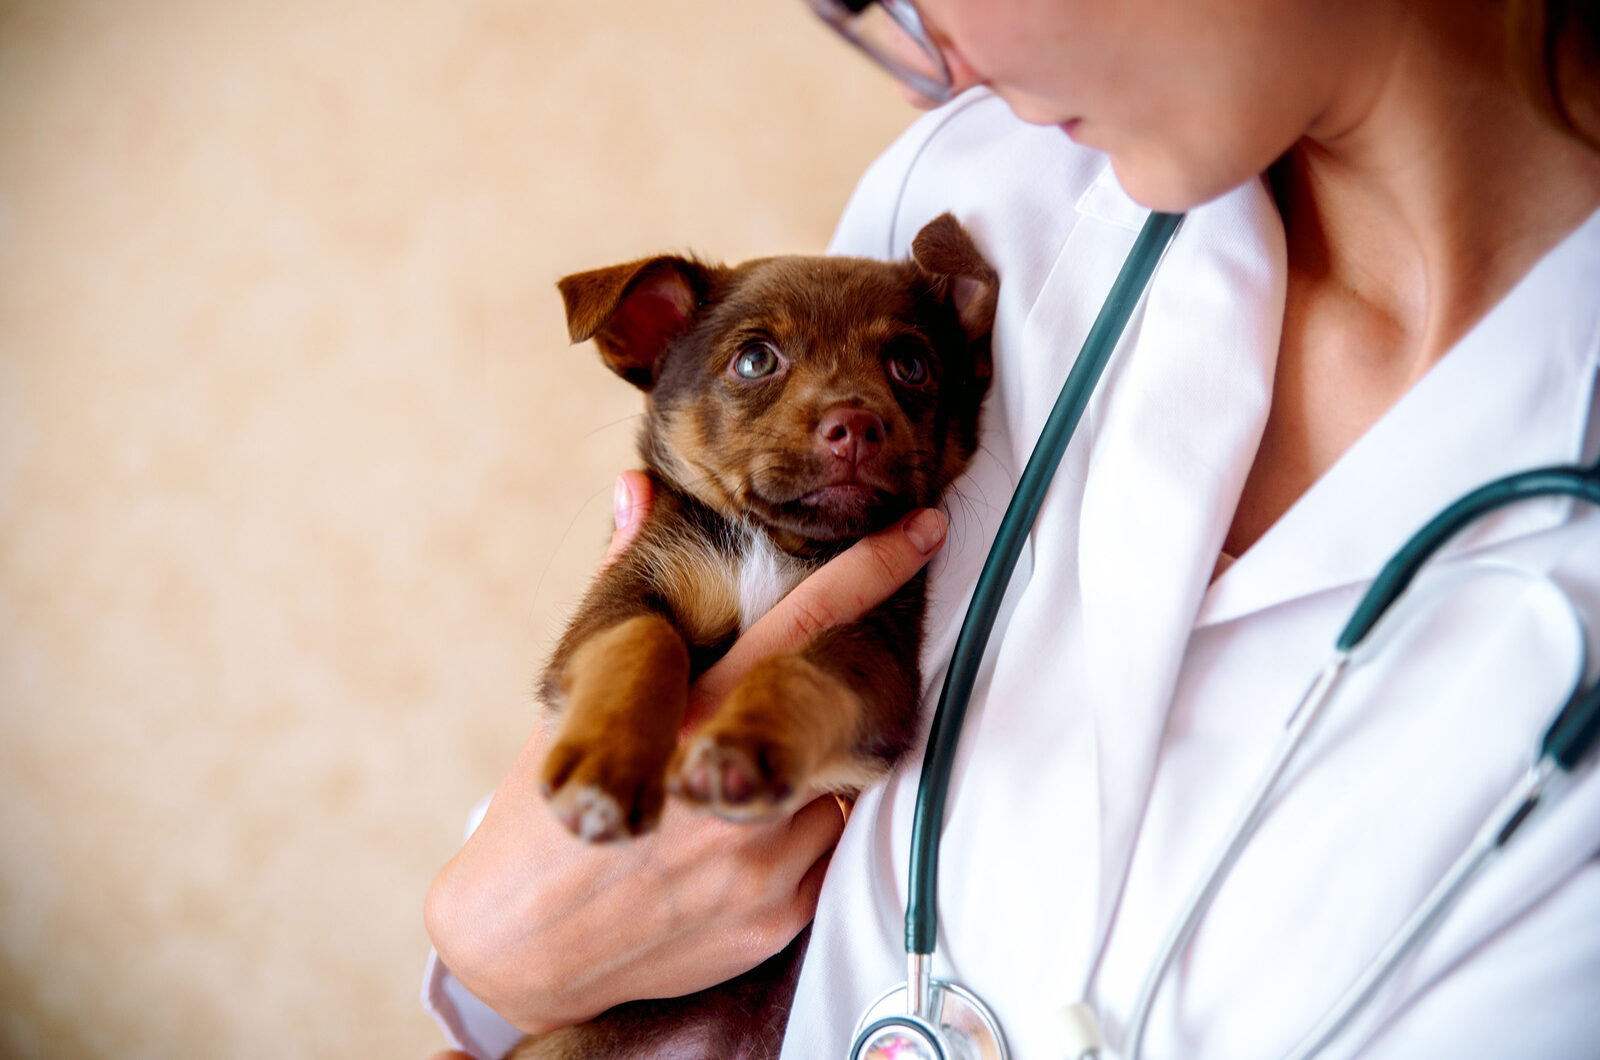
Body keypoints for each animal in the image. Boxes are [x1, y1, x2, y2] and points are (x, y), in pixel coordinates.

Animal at [512, 211, 992, 1056]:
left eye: (911, 365)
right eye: (755, 359)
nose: (856, 424)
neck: (777, 545)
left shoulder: (876, 660)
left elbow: (797, 672)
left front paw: (748, 744)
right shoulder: (620, 599)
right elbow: (648, 644)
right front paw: (607, 765)